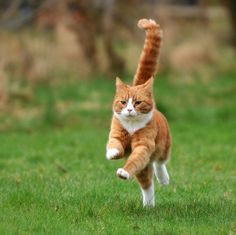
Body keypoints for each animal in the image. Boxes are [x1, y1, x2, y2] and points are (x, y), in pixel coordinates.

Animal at [105, 18, 171, 207]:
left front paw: (124, 172)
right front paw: (112, 153)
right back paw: (149, 206)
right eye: (123, 102)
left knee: (159, 162)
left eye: (137, 102)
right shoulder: (116, 133)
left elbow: (133, 161)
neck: (132, 125)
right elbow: (114, 143)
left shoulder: (143, 146)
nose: (129, 109)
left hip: (163, 146)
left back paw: (164, 179)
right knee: (147, 184)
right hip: (145, 169)